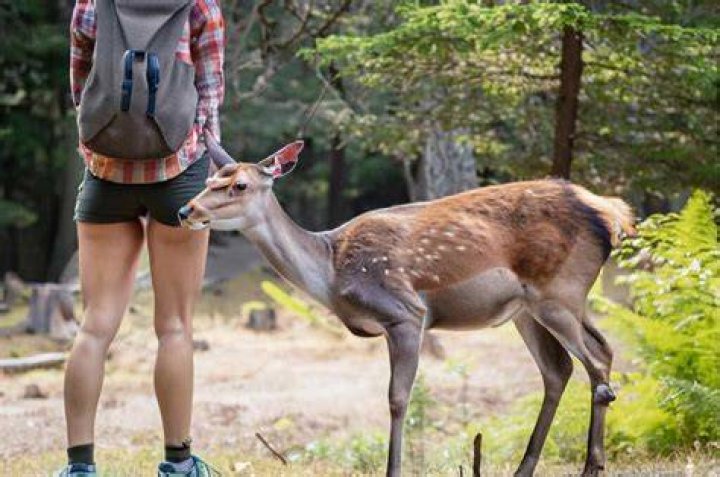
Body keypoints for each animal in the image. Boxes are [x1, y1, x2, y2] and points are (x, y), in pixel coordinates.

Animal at [178, 135, 635, 477]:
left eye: (239, 185)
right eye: (211, 177)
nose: (187, 209)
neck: (331, 272)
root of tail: (612, 212)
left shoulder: (405, 313)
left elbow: (398, 399)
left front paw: (393, 470)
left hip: (558, 292)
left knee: (597, 361)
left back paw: (591, 466)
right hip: (530, 309)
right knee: (565, 367)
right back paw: (526, 468)